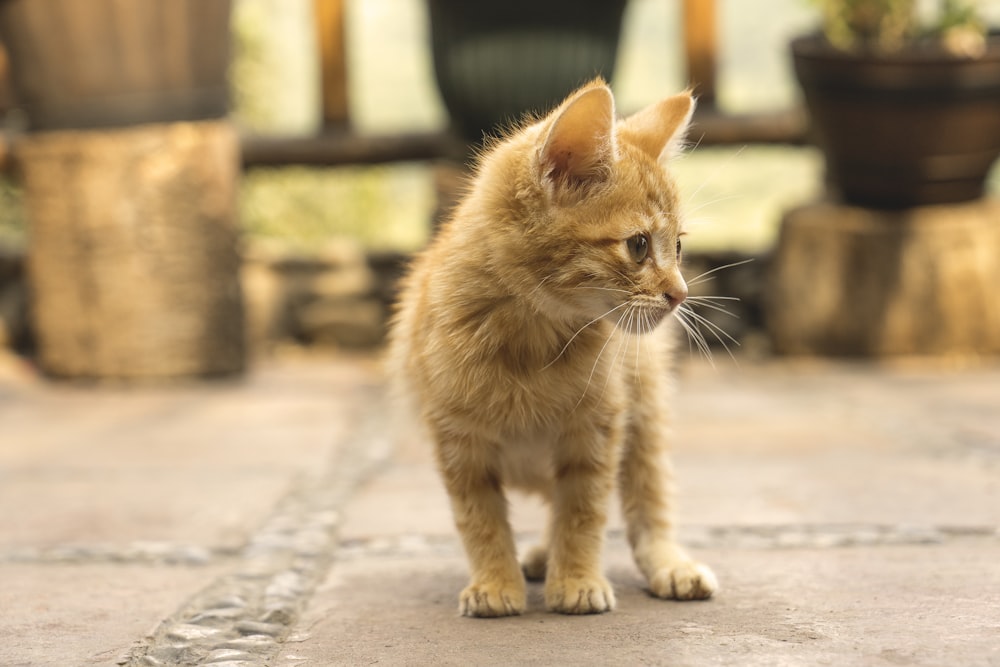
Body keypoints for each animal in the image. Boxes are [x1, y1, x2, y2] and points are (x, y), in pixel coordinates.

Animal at [386, 81, 716, 620]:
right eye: (639, 245)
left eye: (679, 247)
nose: (681, 294)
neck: (531, 341)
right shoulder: (457, 441)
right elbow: (479, 518)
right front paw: (496, 582)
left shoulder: (598, 428)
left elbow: (583, 509)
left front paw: (577, 578)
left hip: (644, 413)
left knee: (648, 498)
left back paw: (670, 565)